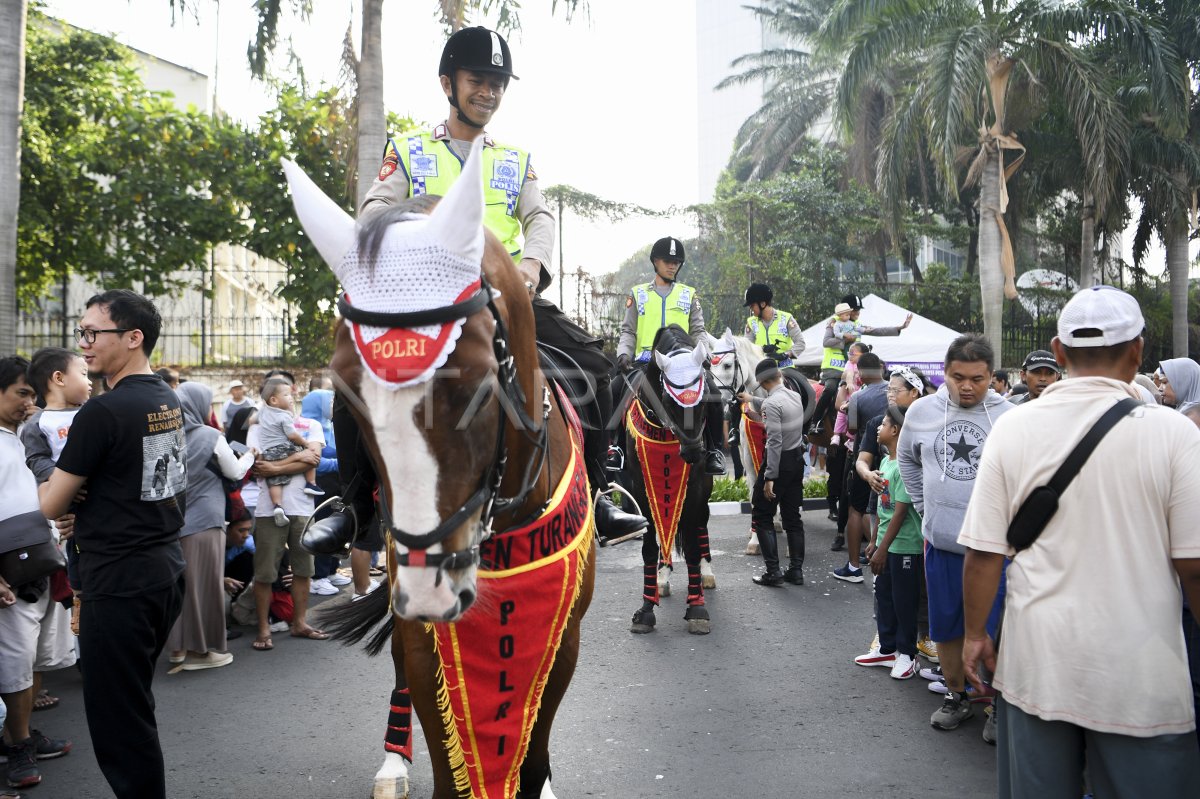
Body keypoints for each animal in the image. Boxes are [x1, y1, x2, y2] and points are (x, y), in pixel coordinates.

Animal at [282, 138, 600, 796]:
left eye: (478, 384)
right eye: (344, 393)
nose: (433, 585)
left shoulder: (567, 638)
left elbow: (532, 754)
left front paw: (539, 777)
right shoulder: (421, 636)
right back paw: (392, 761)